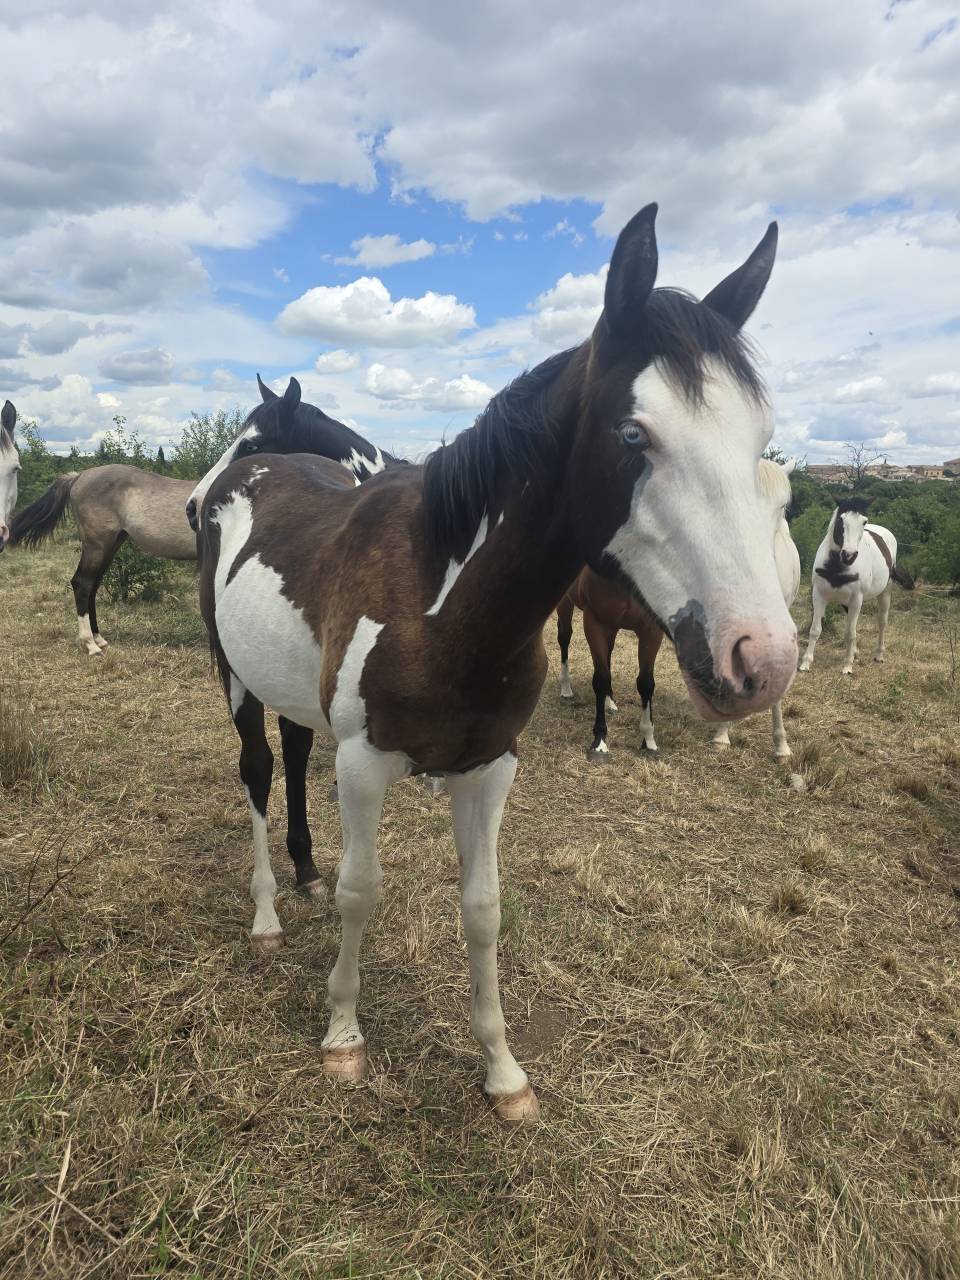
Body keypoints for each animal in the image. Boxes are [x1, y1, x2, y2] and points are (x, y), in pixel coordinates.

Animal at [9, 376, 405, 655]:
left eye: (252, 443)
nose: (193, 506)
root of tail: (79, 475)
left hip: (110, 542)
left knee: (91, 585)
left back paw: (100, 639)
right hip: (98, 541)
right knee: (83, 583)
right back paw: (90, 645)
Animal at [557, 458, 801, 759]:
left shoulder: (650, 631)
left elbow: (645, 682)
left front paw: (649, 740)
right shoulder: (595, 622)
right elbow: (600, 678)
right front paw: (600, 740)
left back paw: (611, 703)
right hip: (567, 607)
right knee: (565, 641)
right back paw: (566, 688)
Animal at [799, 498, 912, 675]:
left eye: (864, 521)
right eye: (841, 519)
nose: (849, 555)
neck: (837, 566)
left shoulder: (856, 599)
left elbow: (850, 633)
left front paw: (847, 665)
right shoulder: (818, 595)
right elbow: (815, 629)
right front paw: (806, 662)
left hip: (885, 593)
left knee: (882, 622)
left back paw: (879, 655)